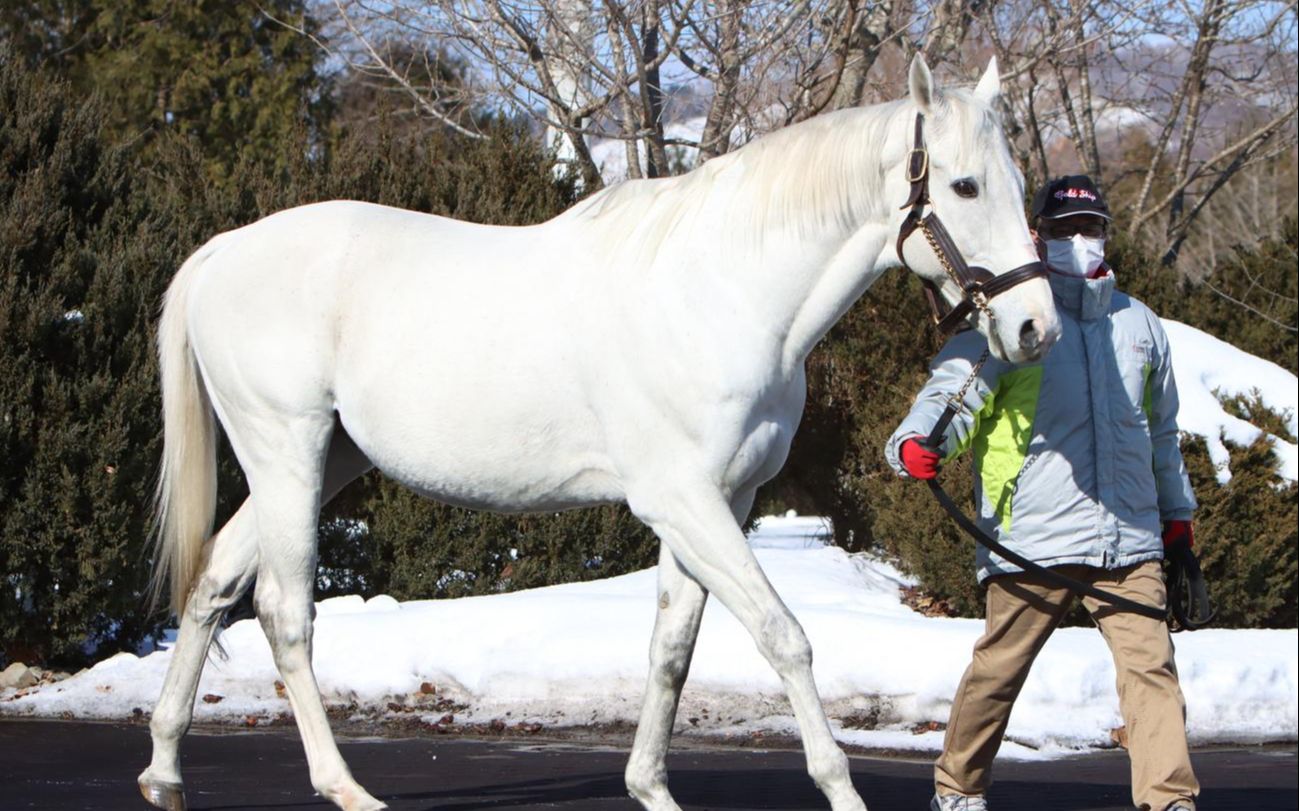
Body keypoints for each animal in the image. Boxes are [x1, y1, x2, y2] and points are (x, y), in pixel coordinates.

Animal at [139, 57, 1054, 811]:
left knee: (214, 581)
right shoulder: (682, 500)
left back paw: (164, 769)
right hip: (286, 452)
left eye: (1015, 181)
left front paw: (649, 787)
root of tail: (223, 252)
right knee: (284, 610)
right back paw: (344, 786)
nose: (1034, 326)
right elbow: (783, 636)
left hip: (322, 459)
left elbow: (672, 648)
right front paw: (839, 788)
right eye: (964, 187)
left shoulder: (724, 501)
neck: (720, 290)